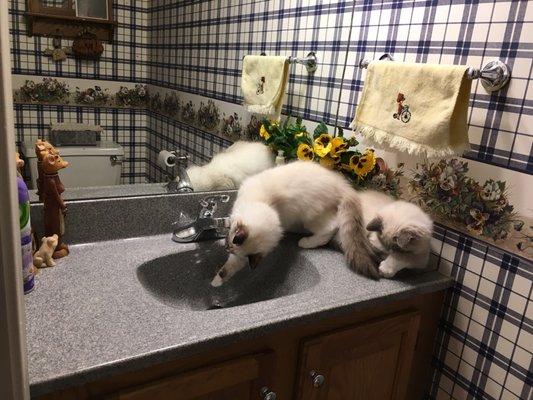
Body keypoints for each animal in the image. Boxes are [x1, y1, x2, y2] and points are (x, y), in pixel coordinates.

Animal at [209, 161, 432, 286]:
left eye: (229, 243)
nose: (226, 247)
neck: (264, 203)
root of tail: (346, 187)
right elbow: (228, 269)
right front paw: (216, 282)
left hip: (309, 216)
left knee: (329, 229)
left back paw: (306, 242)